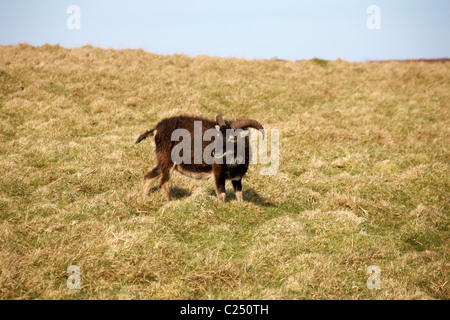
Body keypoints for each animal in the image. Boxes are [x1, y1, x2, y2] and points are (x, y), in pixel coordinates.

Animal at [135, 114, 266, 201]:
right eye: (219, 136)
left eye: (233, 138)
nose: (214, 153)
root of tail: (156, 129)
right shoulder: (217, 171)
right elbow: (221, 194)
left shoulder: (237, 177)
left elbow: (239, 196)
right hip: (168, 160)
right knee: (163, 182)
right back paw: (169, 203)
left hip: (161, 160)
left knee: (148, 177)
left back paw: (144, 200)